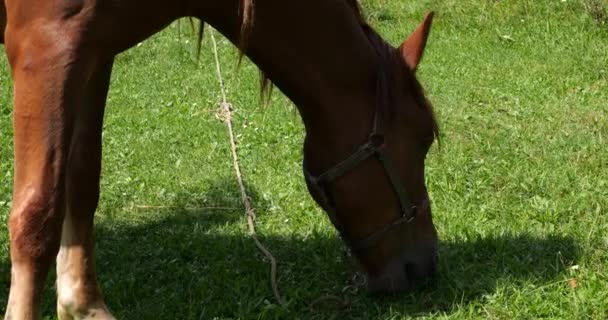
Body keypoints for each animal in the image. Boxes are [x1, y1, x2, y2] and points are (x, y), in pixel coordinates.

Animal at [0, 0, 440, 318]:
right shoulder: (46, 49)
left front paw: (83, 305)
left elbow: (82, 180)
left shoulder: (95, 53)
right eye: (422, 140)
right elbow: (38, 214)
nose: (426, 266)